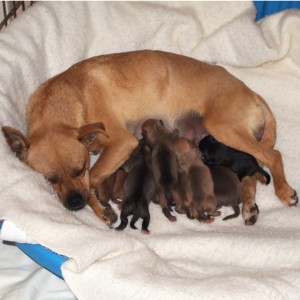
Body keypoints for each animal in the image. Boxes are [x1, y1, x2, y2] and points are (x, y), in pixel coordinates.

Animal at [1, 50, 298, 226]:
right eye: (49, 179)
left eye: (80, 168)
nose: (74, 204)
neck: (67, 101)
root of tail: (252, 94)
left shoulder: (121, 144)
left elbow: (93, 179)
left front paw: (98, 206)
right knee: (251, 175)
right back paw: (249, 208)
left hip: (224, 128)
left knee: (272, 156)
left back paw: (284, 191)